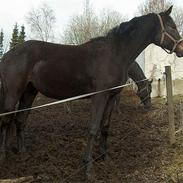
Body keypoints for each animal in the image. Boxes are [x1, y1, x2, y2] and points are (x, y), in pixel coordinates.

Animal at [0, 6, 183, 174]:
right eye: (172, 27)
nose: (181, 49)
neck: (115, 54)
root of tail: (7, 55)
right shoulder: (99, 96)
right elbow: (93, 127)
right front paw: (88, 166)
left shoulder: (111, 96)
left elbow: (105, 126)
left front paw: (104, 157)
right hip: (13, 93)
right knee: (6, 120)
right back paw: (3, 156)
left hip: (29, 92)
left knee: (20, 120)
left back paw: (23, 154)